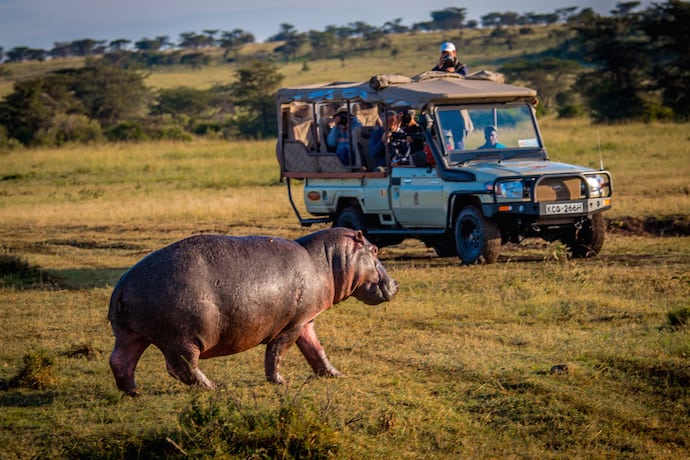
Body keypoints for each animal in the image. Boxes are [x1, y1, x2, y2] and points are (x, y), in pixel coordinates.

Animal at [109, 228, 398, 394]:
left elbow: (316, 350)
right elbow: (277, 352)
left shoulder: (307, 321)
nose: (395, 284)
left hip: (130, 334)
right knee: (181, 366)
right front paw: (280, 382)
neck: (327, 260)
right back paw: (212, 387)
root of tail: (123, 286)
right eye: (374, 249)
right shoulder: (292, 325)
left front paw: (335, 374)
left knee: (121, 361)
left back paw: (133, 392)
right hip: (182, 338)